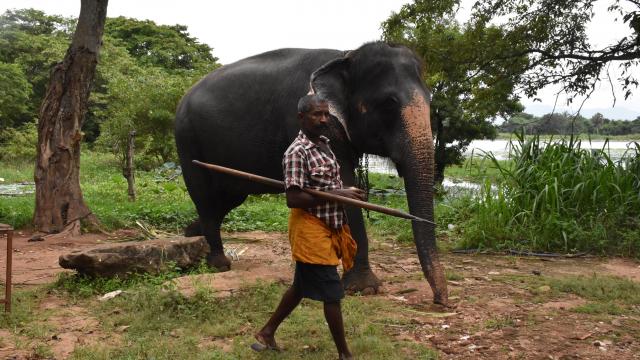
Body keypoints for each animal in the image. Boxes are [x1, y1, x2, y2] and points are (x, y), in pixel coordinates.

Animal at [172, 40, 448, 306]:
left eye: (430, 99)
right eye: (389, 103)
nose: (441, 301)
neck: (347, 54)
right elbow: (343, 188)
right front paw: (364, 288)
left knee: (225, 200)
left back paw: (192, 234)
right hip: (187, 142)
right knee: (205, 197)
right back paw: (218, 264)